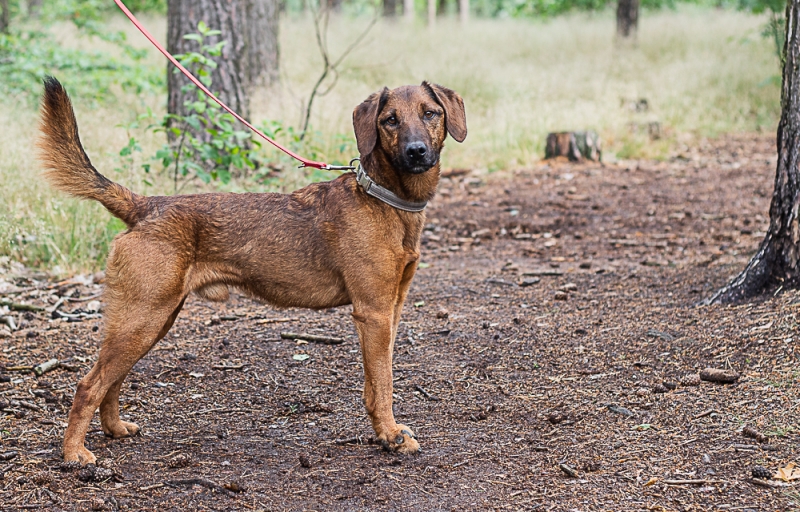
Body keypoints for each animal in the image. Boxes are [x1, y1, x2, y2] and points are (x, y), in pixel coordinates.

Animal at [39, 76, 468, 464]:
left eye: (429, 113)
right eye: (390, 120)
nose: (416, 152)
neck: (383, 198)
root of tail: (145, 205)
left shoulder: (391, 311)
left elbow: (375, 383)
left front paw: (384, 433)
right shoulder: (373, 313)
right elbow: (384, 383)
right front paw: (391, 436)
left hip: (150, 321)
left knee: (111, 381)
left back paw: (114, 429)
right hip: (143, 319)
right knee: (89, 385)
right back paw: (74, 453)